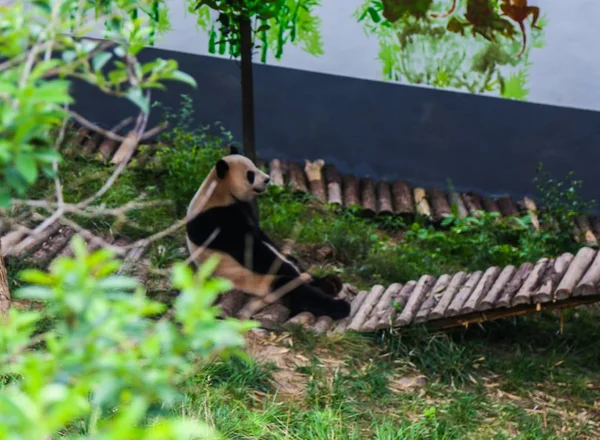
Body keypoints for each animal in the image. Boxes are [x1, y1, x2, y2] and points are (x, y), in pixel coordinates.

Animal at [185, 147, 350, 320]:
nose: (267, 179)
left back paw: (329, 283)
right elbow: (252, 250)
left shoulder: (242, 209)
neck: (219, 191)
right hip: (258, 282)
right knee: (294, 290)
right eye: (250, 174)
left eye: (255, 166)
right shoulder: (216, 220)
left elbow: (264, 240)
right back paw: (339, 305)